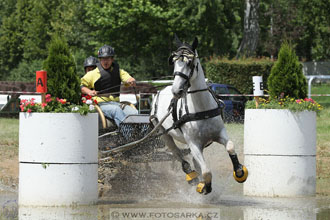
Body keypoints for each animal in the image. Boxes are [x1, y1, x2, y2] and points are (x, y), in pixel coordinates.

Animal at [150, 36, 248, 194]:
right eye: (174, 62)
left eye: (190, 63)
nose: (176, 91)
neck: (201, 109)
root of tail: (160, 91)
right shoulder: (194, 143)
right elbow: (206, 171)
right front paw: (204, 186)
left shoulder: (219, 133)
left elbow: (230, 147)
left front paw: (239, 171)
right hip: (164, 133)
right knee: (178, 155)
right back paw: (192, 176)